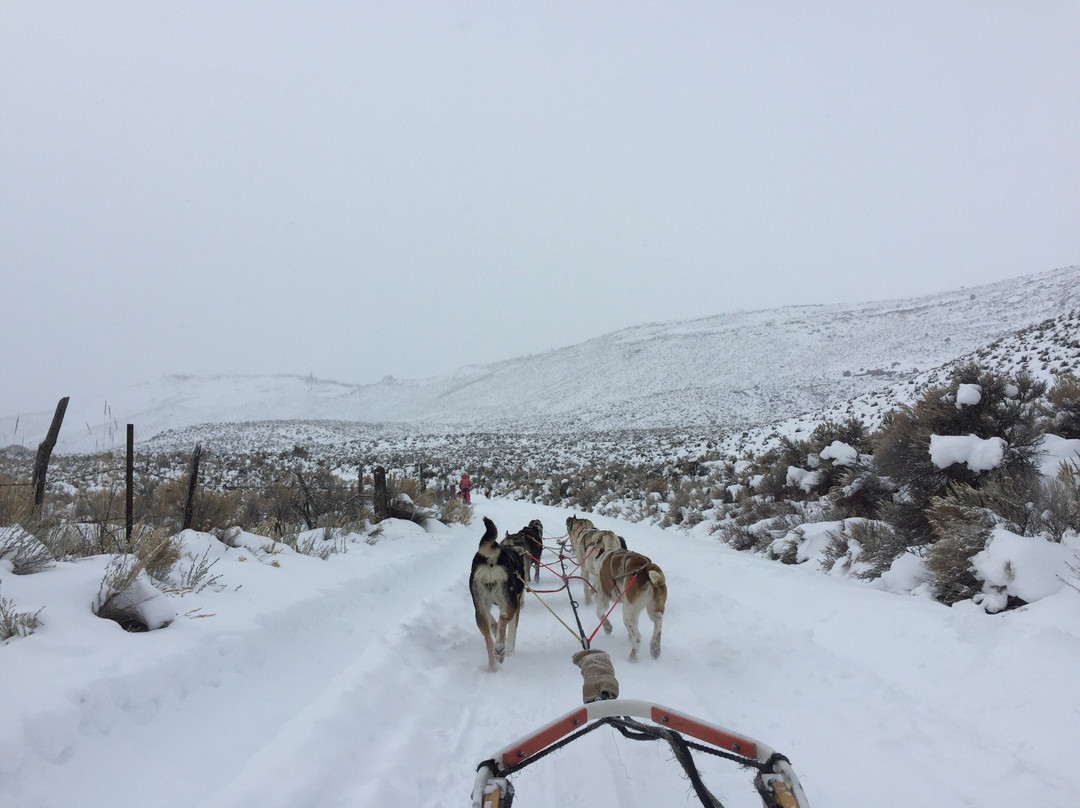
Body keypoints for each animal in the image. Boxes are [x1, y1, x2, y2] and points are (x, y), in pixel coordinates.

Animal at [470, 518, 524, 669]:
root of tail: (492, 558)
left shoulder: (483, 606)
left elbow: (492, 620)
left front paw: (494, 628)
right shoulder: (516, 604)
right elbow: (512, 631)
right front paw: (510, 651)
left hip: (479, 609)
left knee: (488, 640)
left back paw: (493, 665)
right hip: (510, 603)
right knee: (503, 618)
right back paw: (500, 648)